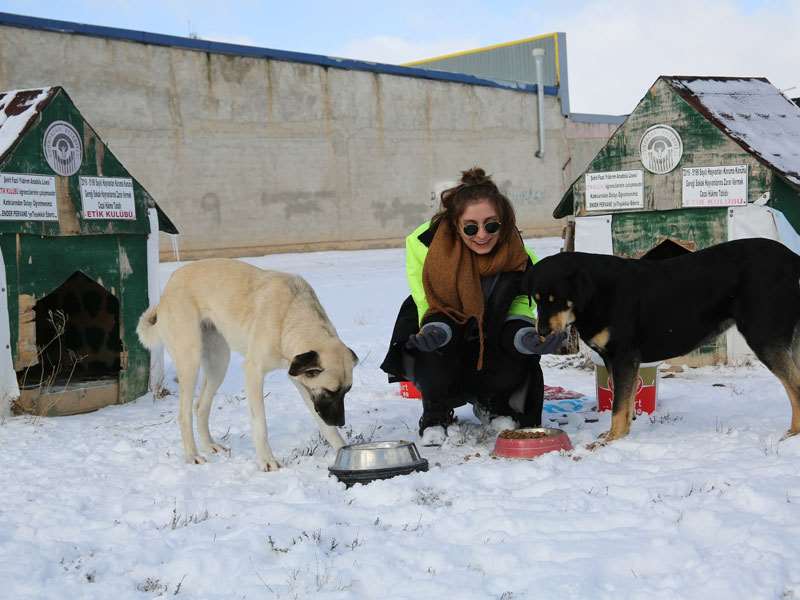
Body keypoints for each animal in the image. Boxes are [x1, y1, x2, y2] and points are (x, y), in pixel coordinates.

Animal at [136, 260, 354, 472]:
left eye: (346, 391)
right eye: (330, 391)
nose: (341, 422)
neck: (288, 317)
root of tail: (169, 285)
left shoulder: (302, 382)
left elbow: (325, 427)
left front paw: (341, 449)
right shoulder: (254, 372)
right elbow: (260, 424)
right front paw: (267, 460)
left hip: (219, 362)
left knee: (201, 407)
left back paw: (209, 445)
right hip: (190, 360)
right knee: (184, 414)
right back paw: (193, 455)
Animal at [520, 237, 800, 442]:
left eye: (557, 299)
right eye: (537, 298)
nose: (542, 331)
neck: (595, 294)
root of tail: (792, 259)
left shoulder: (623, 356)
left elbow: (618, 406)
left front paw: (610, 440)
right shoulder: (616, 360)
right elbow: (625, 403)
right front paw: (622, 435)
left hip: (764, 337)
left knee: (794, 387)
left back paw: (792, 435)